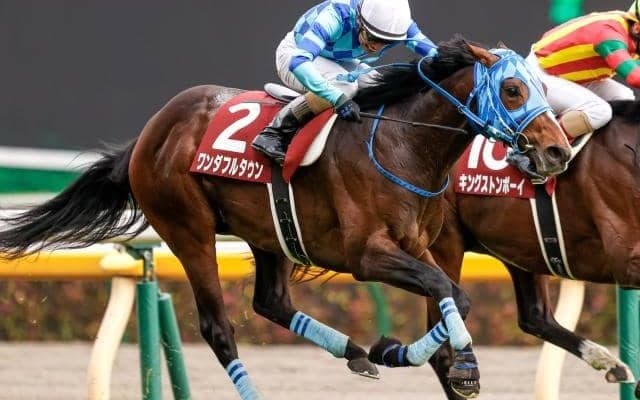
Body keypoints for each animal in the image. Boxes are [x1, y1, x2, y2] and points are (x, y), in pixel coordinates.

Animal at [0, 37, 571, 399]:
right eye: (514, 90)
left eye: (540, 87)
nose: (558, 151)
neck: (401, 141)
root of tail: (149, 134)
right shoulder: (368, 256)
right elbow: (448, 291)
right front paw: (459, 367)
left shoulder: (419, 246)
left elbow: (456, 294)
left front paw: (394, 350)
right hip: (187, 228)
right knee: (218, 328)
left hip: (269, 232)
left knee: (271, 302)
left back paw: (354, 351)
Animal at [426, 99, 640, 399]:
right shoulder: (626, 255)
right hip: (445, 244)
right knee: (442, 351)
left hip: (520, 248)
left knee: (534, 316)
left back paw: (611, 364)